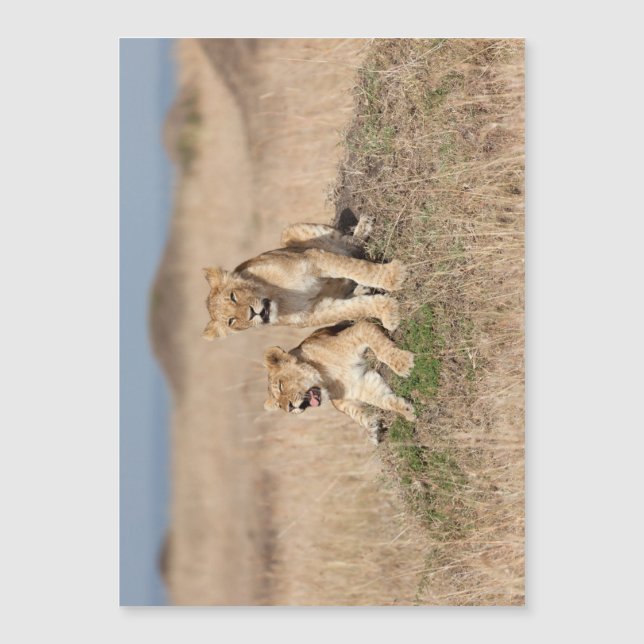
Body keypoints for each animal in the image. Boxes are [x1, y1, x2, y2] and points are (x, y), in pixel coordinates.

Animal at [202, 221, 405, 339]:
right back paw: (360, 289)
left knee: (349, 244)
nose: (252, 314)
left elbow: (355, 267)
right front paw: (389, 312)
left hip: (289, 232)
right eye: (232, 321)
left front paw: (393, 277)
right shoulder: (315, 312)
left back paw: (363, 228)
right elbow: (355, 308)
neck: (280, 298)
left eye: (233, 296)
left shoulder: (313, 259)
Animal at [262, 320, 416, 444]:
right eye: (279, 406)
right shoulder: (362, 383)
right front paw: (407, 411)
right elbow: (385, 400)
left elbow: (381, 349)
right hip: (338, 402)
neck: (328, 379)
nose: (289, 408)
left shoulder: (359, 329)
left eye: (281, 386)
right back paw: (373, 430)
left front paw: (404, 364)